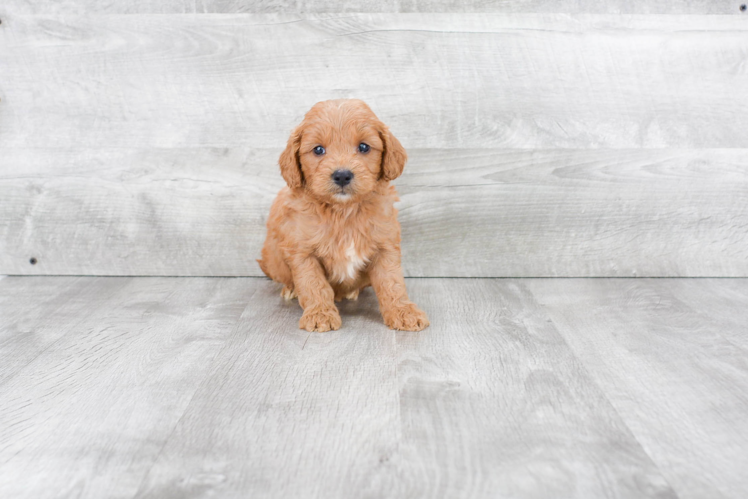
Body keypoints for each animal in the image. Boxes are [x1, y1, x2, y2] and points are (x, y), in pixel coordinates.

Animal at [258, 98, 430, 332]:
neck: (344, 212)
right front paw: (320, 314)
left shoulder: (385, 246)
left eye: (364, 147)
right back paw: (290, 289)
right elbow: (313, 284)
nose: (342, 175)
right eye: (318, 149)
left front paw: (404, 312)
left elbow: (392, 282)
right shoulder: (303, 252)